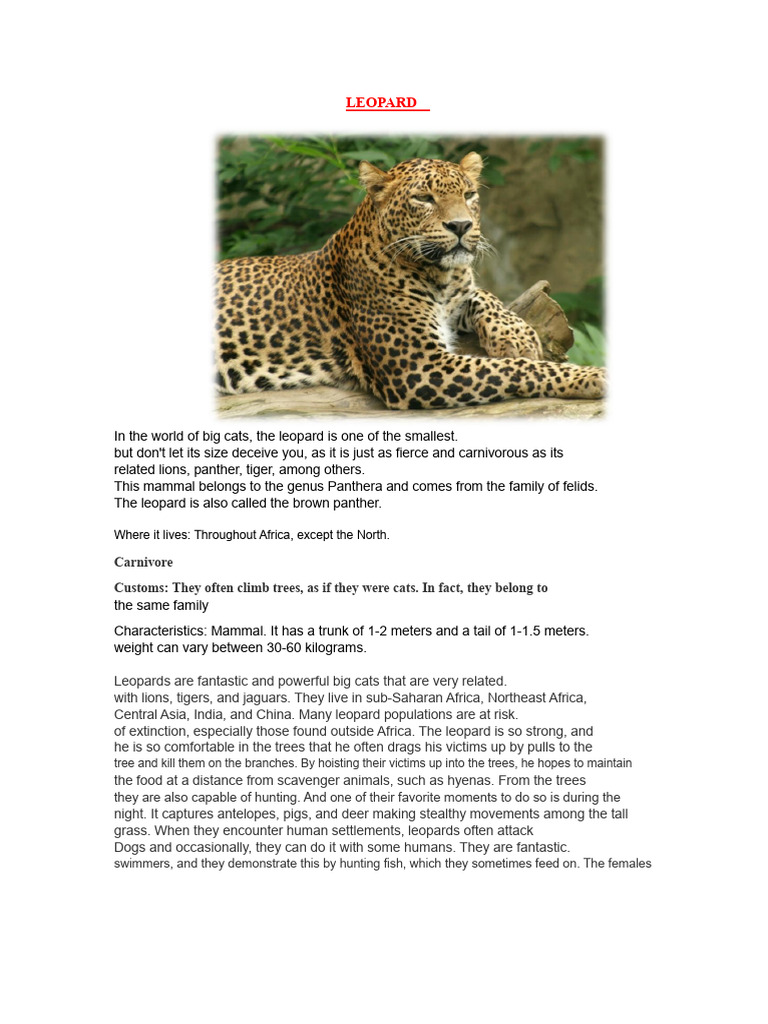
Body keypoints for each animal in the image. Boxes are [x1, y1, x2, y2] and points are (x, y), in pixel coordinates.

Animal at [215, 152, 605, 410]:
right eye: (423, 198)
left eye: (468, 195)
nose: (461, 226)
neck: (437, 274)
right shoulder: (421, 368)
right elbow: (516, 369)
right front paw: (589, 376)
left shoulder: (457, 295)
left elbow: (482, 295)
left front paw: (516, 334)